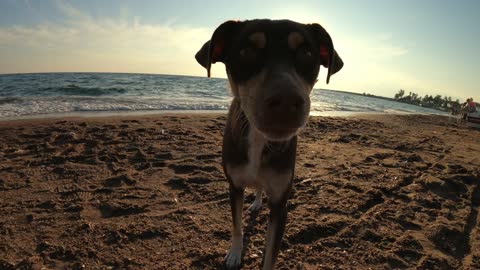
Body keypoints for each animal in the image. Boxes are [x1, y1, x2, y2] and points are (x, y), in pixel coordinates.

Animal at [193, 19, 344, 270]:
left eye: (306, 52)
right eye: (246, 52)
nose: (286, 101)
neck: (258, 137)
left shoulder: (280, 204)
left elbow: (271, 253)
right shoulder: (234, 186)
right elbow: (236, 226)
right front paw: (235, 254)